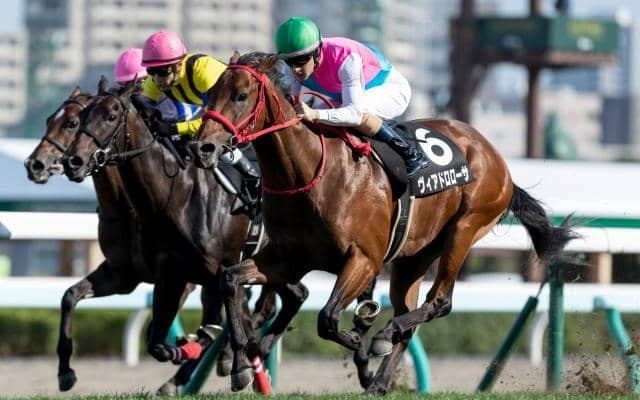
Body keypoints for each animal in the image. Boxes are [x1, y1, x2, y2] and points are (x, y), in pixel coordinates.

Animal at [61, 78, 282, 390]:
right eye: (81, 118)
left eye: (111, 116)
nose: (74, 161)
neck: (178, 196)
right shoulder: (153, 273)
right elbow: (154, 339)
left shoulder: (223, 266)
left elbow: (230, 314)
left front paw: (233, 363)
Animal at [193, 52, 577, 394]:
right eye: (210, 94)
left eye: (241, 96)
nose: (203, 148)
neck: (310, 172)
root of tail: (495, 157)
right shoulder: (288, 259)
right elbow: (230, 280)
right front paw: (240, 366)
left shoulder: (363, 259)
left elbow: (327, 318)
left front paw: (360, 338)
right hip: (413, 258)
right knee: (412, 313)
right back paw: (380, 378)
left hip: (465, 229)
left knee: (440, 302)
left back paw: (383, 336)